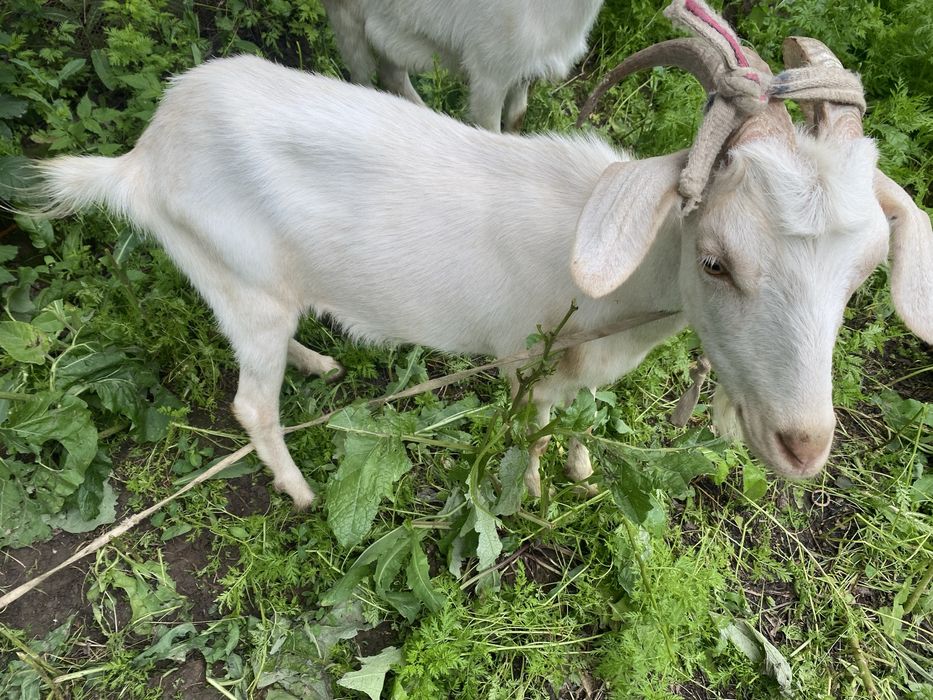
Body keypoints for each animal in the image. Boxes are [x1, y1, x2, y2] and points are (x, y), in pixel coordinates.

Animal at [320, 0, 604, 132]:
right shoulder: (490, 73)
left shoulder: (523, 70)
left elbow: (516, 118)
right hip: (346, 15)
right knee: (362, 79)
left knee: (392, 76)